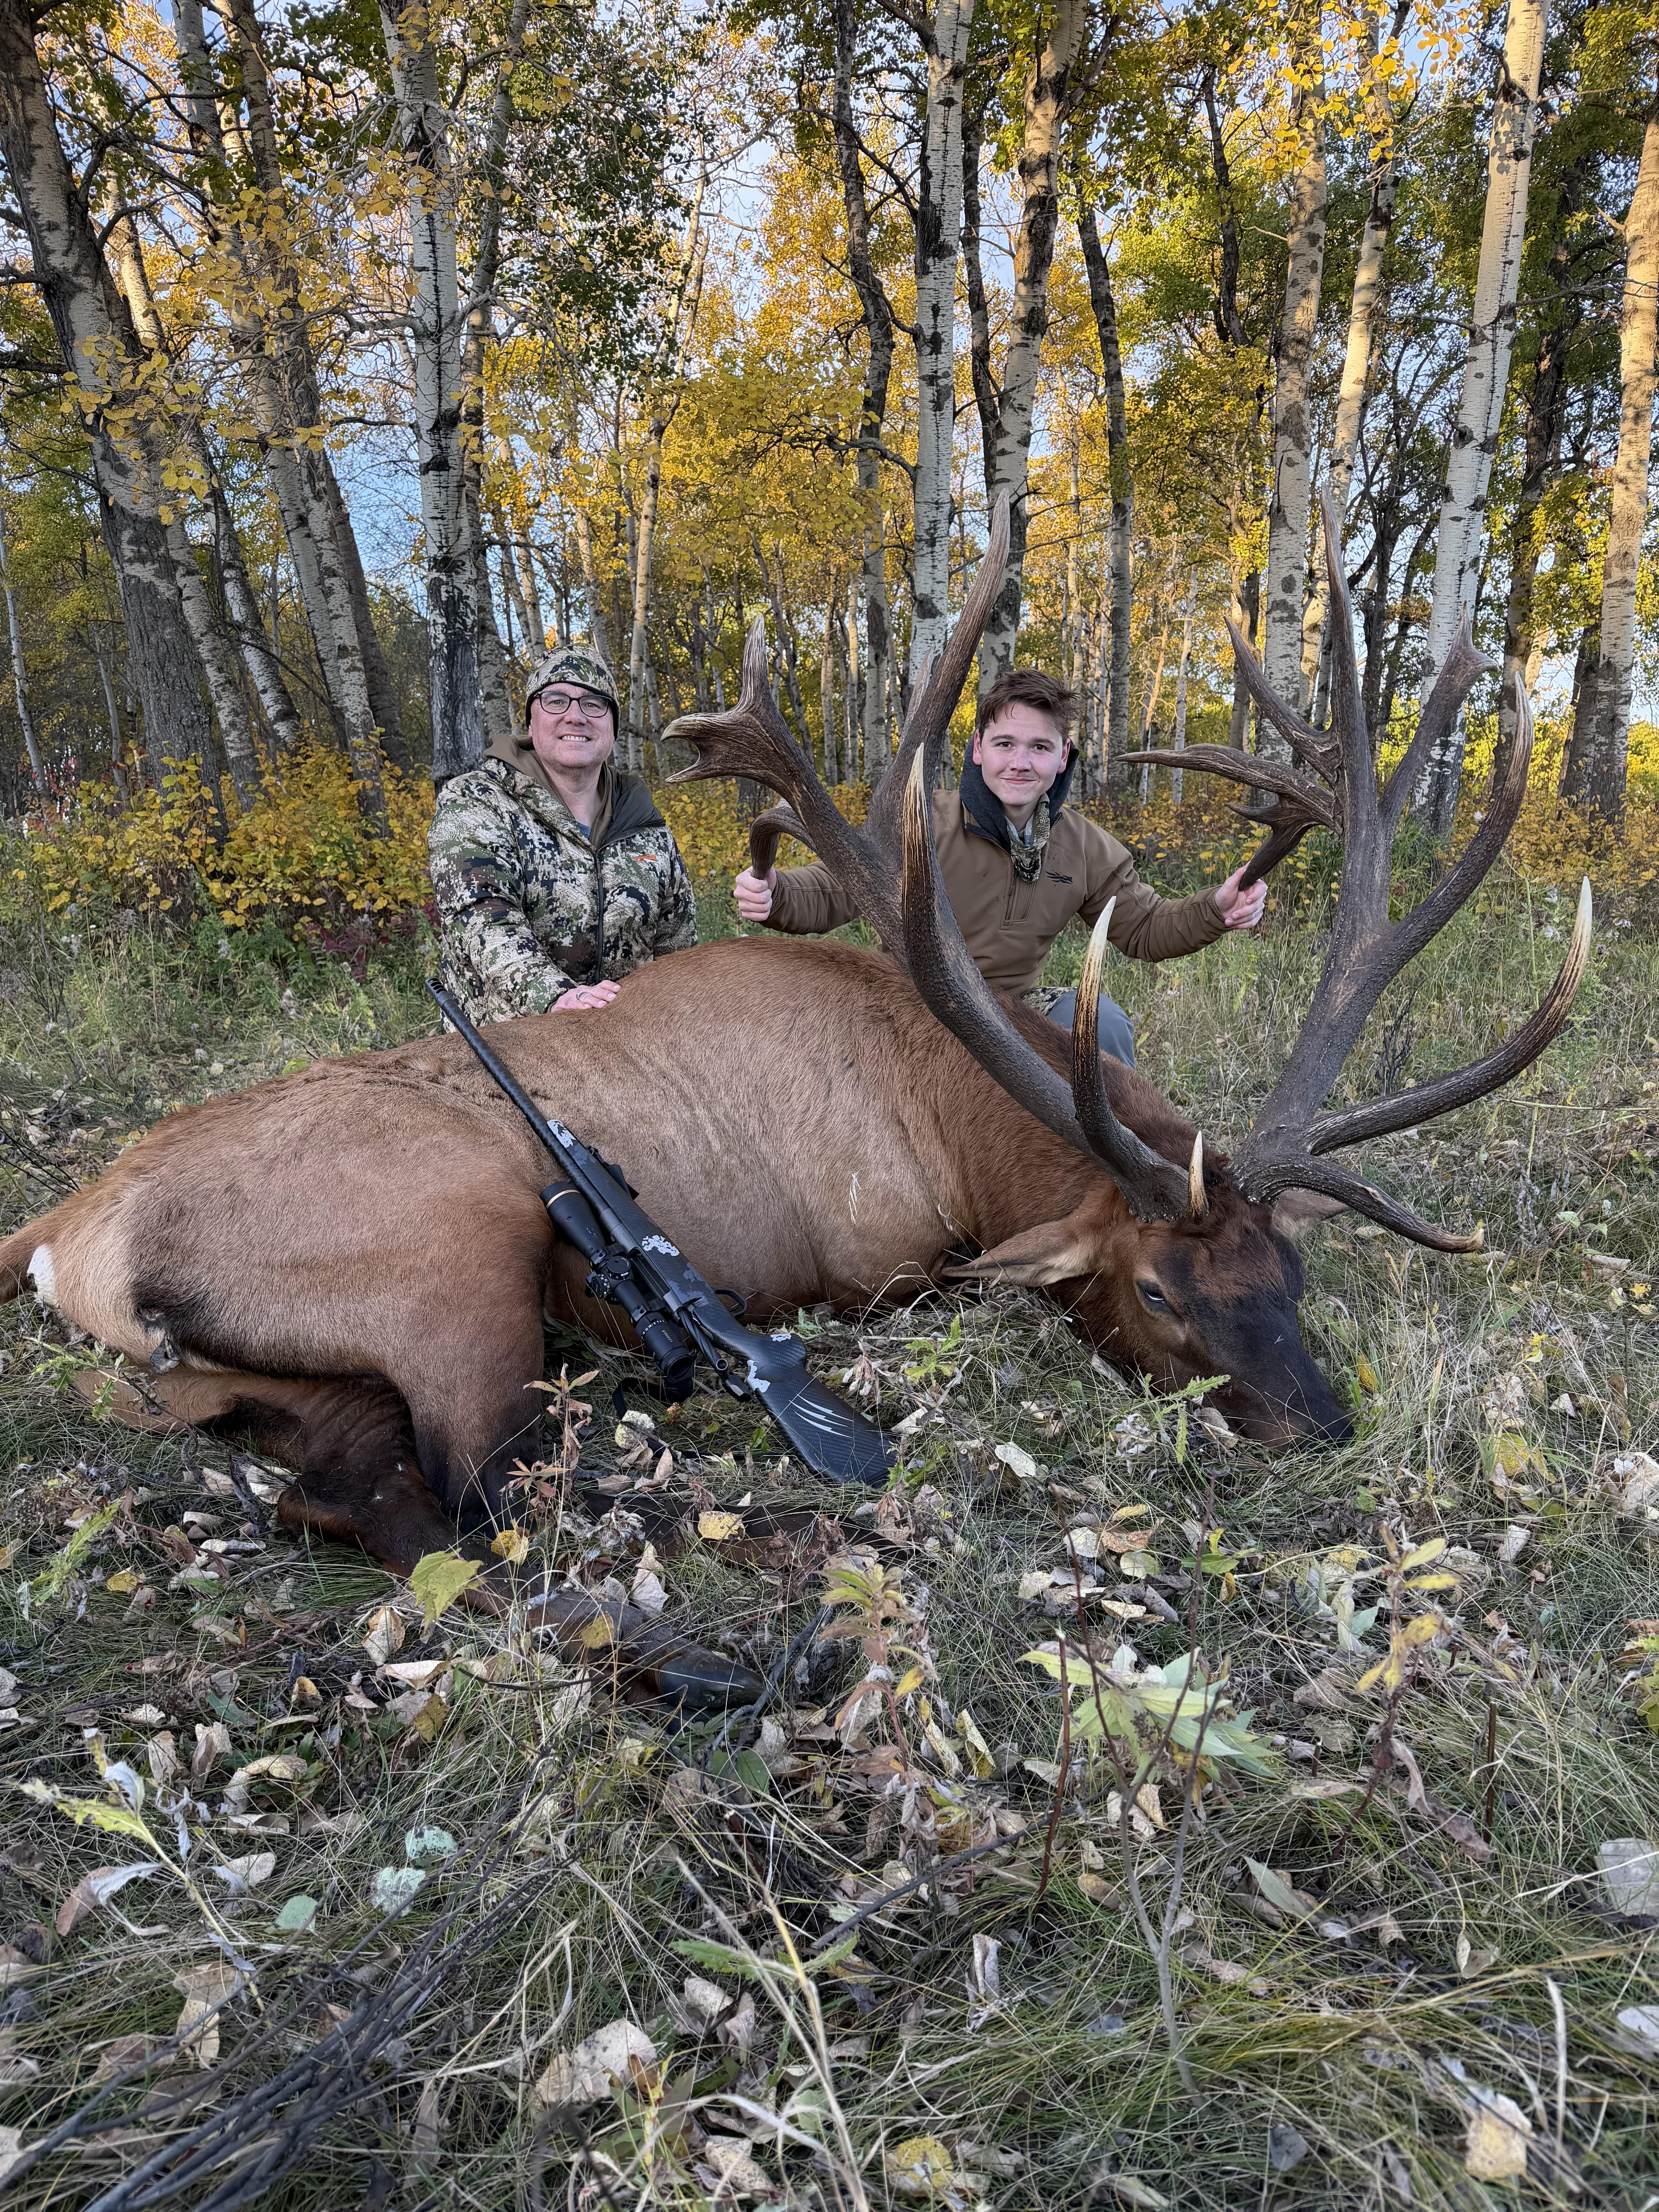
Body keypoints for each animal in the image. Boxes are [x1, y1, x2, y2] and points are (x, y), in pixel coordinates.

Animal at [0, 495, 1588, 1700]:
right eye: (1160, 1291)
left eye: (1295, 1273)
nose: (1320, 1423)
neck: (944, 1113)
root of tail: (65, 1239)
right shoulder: (878, 1266)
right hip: (453, 1263)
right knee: (469, 1508)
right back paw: (696, 1649)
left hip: (240, 1381)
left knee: (335, 1487)